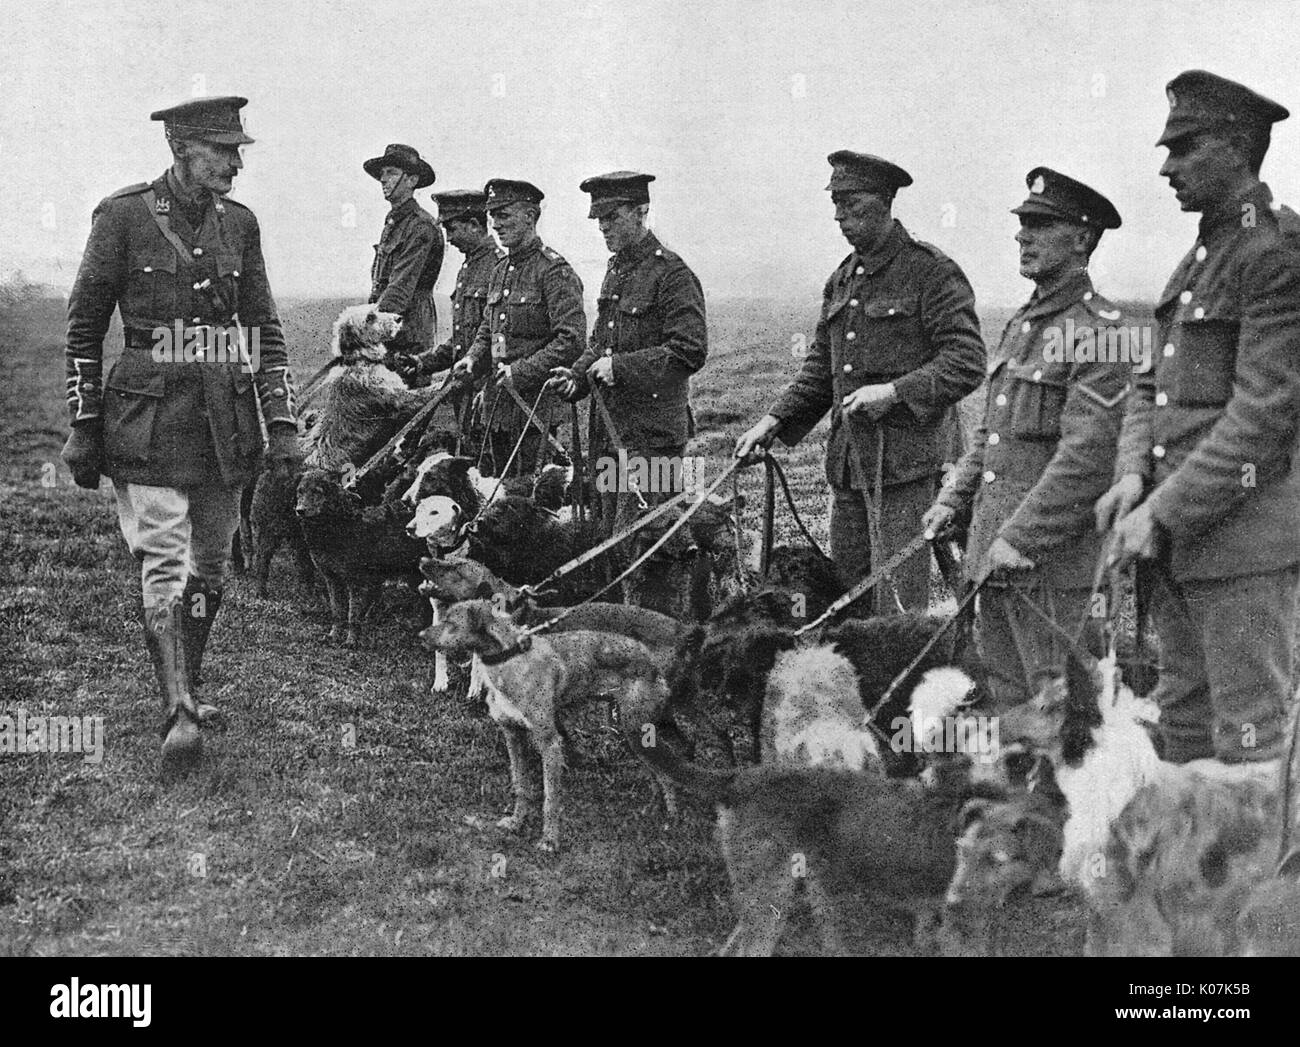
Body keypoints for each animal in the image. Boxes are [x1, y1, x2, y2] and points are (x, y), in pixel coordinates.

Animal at [423, 595, 686, 848]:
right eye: (442, 617)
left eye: (451, 622)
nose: (421, 636)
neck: (509, 660)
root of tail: (652, 661)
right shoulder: (513, 735)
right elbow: (521, 785)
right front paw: (516, 823)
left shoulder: (549, 742)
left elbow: (550, 798)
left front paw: (549, 840)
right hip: (632, 733)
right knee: (655, 772)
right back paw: (653, 810)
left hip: (637, 731)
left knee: (666, 774)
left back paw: (671, 820)